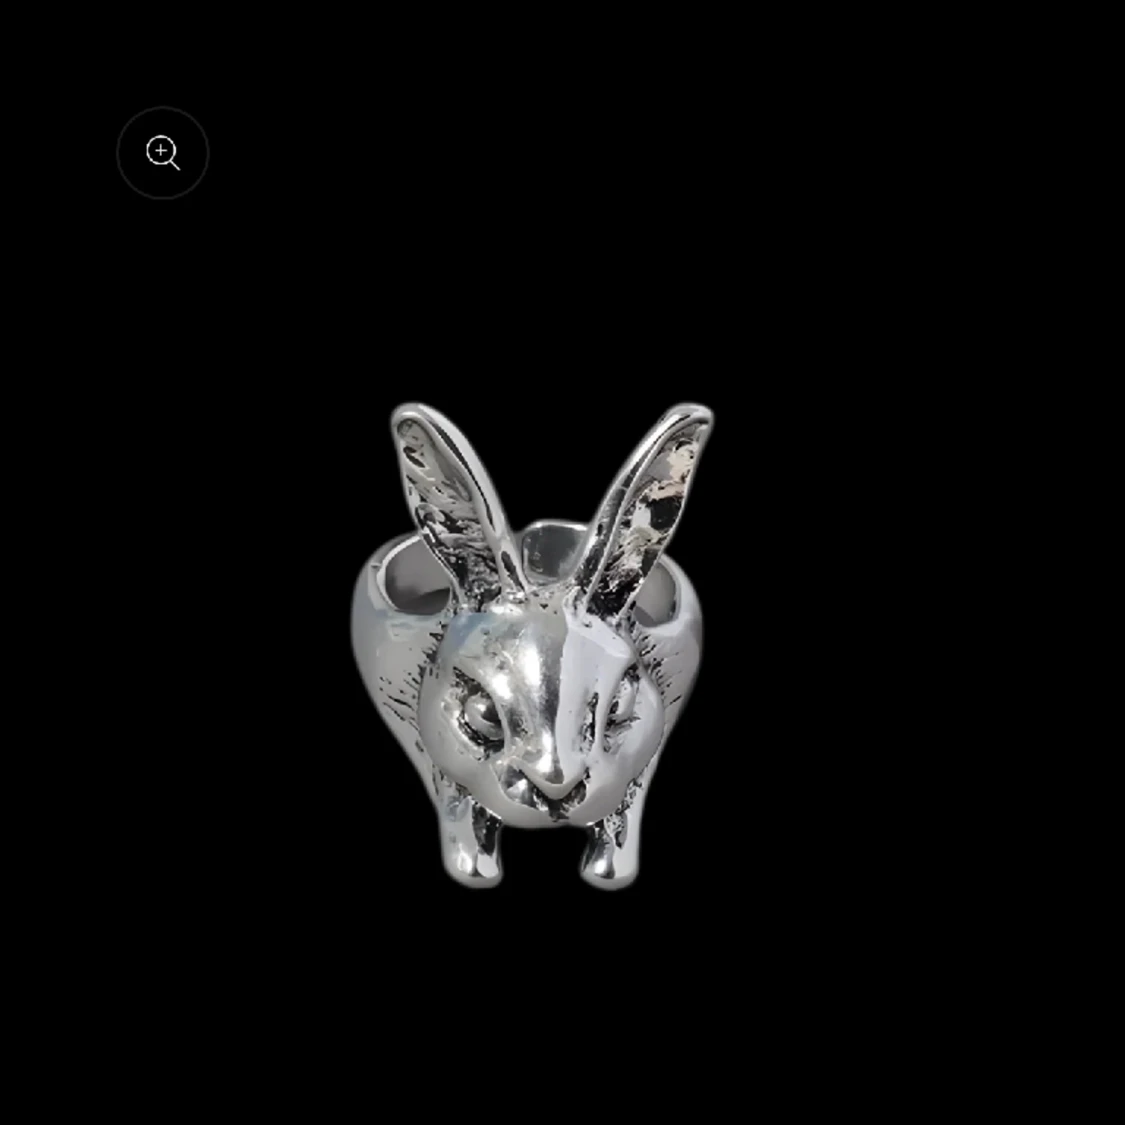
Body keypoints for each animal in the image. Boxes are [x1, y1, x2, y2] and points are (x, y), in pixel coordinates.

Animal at [351, 401, 712, 888]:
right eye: (482, 713)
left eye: (619, 704)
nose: (556, 790)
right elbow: (461, 816)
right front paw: (475, 869)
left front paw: (608, 870)